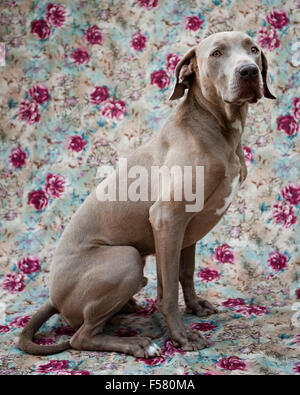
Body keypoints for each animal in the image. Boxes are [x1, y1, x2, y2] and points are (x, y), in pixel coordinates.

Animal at [18, 31, 276, 358]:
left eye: (253, 49)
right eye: (216, 53)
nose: (249, 71)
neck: (217, 128)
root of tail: (54, 298)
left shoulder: (187, 230)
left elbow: (186, 273)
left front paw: (196, 306)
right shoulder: (167, 219)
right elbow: (167, 292)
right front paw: (181, 337)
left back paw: (131, 312)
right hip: (126, 258)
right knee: (80, 337)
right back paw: (137, 343)